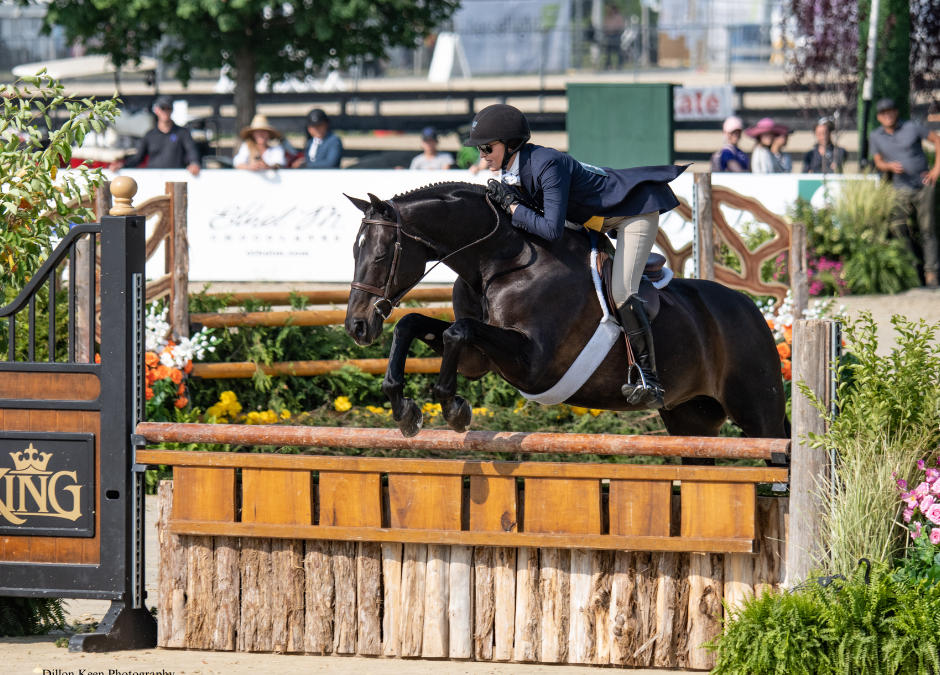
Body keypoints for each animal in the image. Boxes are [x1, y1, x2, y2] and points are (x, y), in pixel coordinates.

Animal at [344, 181, 784, 444]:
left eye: (380, 255)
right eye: (353, 251)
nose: (357, 326)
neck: (499, 261)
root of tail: (752, 309)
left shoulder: (533, 364)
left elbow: (459, 331)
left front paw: (453, 408)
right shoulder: (477, 361)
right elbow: (414, 324)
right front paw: (403, 408)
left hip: (758, 411)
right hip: (691, 418)